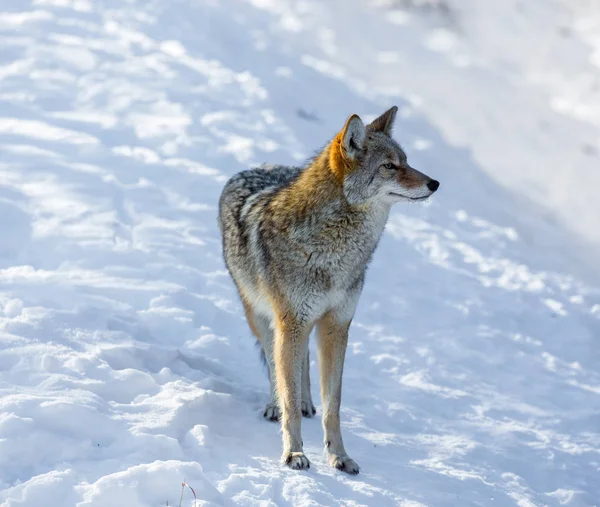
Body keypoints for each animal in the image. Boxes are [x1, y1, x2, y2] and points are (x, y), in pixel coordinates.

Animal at [218, 105, 438, 474]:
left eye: (407, 161)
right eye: (389, 166)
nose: (434, 183)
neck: (335, 251)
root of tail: (259, 166)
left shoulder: (337, 325)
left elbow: (332, 405)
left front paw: (340, 456)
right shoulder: (291, 322)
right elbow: (289, 395)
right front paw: (294, 453)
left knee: (302, 364)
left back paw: (308, 402)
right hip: (263, 317)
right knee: (276, 366)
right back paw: (275, 405)